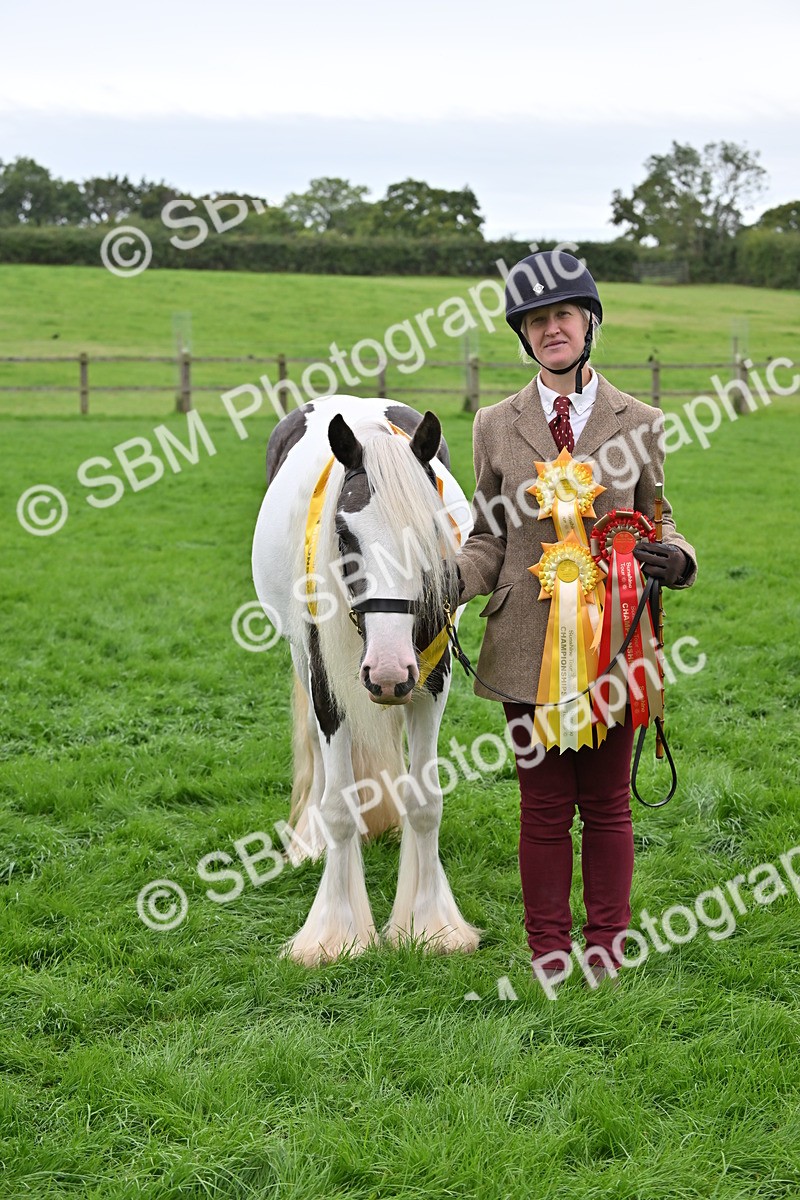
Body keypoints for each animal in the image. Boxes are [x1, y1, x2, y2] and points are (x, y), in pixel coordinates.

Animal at [252, 396, 480, 966]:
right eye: (344, 535)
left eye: (431, 533)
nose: (388, 671)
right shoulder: (328, 685)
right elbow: (337, 806)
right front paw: (335, 933)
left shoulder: (431, 680)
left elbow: (426, 801)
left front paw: (431, 923)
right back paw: (308, 843)